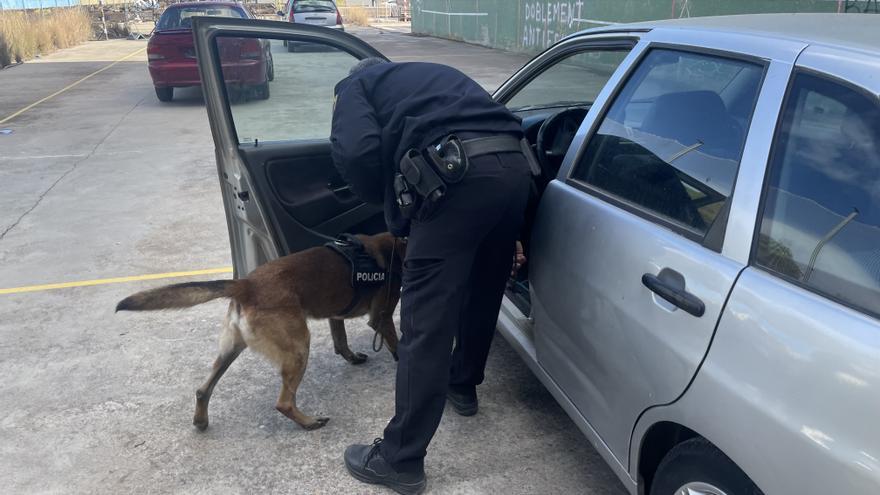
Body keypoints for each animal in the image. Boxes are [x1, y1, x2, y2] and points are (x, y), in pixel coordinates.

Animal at [115, 232, 404, 430]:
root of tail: (246, 284)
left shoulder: (336, 315)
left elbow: (340, 341)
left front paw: (352, 357)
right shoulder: (381, 319)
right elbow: (395, 343)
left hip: (231, 349)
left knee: (202, 389)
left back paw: (201, 421)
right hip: (298, 348)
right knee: (284, 402)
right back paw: (309, 422)